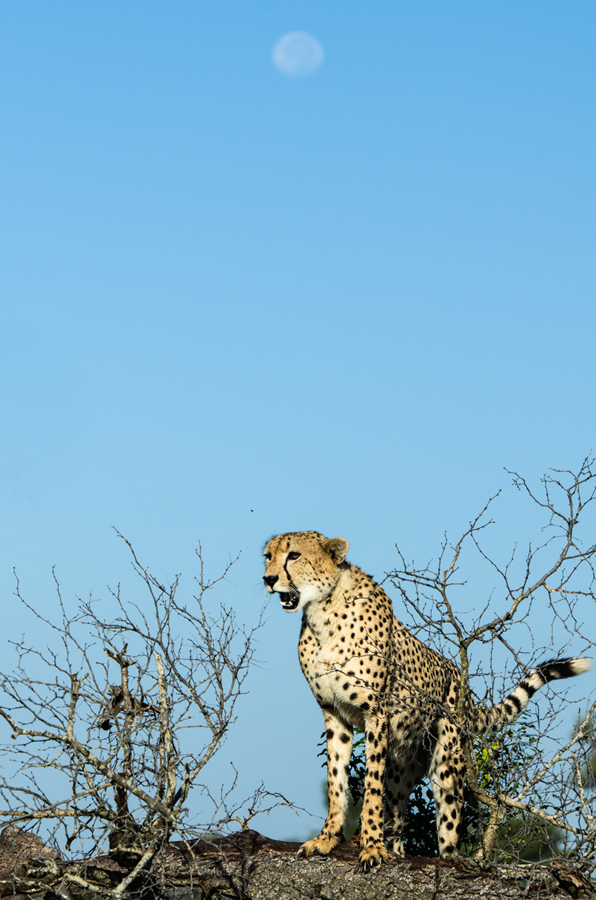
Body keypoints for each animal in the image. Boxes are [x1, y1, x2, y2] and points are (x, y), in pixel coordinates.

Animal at [263, 530, 591, 872]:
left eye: (294, 555)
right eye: (268, 556)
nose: (268, 579)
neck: (322, 613)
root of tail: (463, 683)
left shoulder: (375, 712)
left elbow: (371, 785)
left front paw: (371, 847)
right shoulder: (334, 714)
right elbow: (336, 780)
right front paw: (327, 838)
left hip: (446, 761)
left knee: (448, 824)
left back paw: (445, 859)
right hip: (404, 763)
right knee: (397, 810)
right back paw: (396, 849)